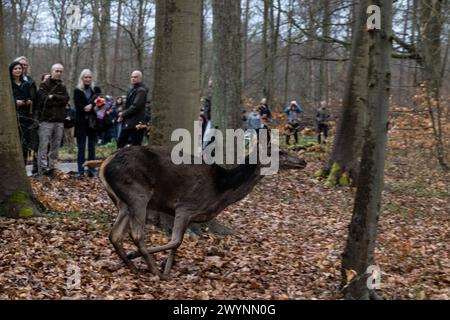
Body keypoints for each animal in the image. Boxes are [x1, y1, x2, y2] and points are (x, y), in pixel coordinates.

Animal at [95, 146, 306, 278]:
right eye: (279, 152)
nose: (302, 161)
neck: (221, 190)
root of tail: (104, 163)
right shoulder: (185, 205)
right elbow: (176, 241)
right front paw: (160, 269)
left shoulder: (190, 214)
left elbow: (176, 244)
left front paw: (167, 270)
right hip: (138, 193)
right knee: (136, 233)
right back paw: (152, 269)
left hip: (124, 202)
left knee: (115, 234)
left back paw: (133, 267)